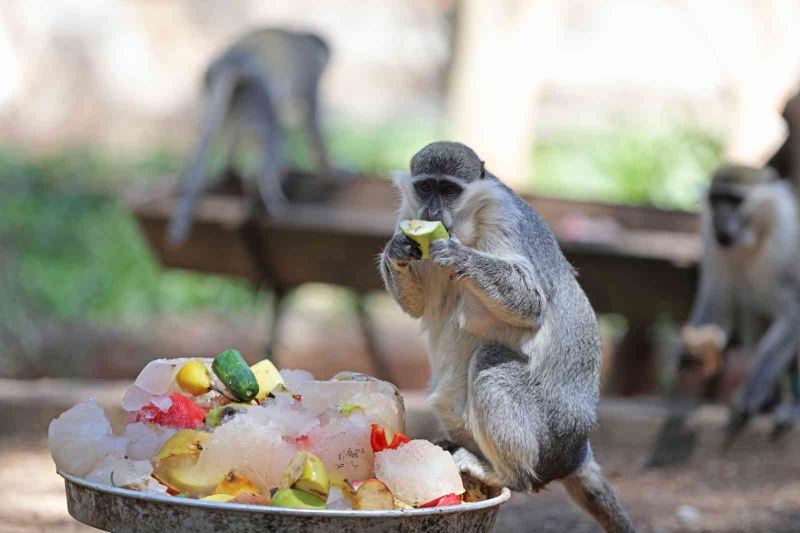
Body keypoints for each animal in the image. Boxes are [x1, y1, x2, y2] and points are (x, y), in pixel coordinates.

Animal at [680, 163, 800, 440]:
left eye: (735, 200)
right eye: (716, 200)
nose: (720, 221)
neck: (755, 238)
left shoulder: (788, 237)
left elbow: (794, 314)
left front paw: (753, 389)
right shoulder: (711, 237)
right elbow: (717, 296)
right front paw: (695, 351)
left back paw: (791, 407)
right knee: (752, 315)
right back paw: (773, 401)